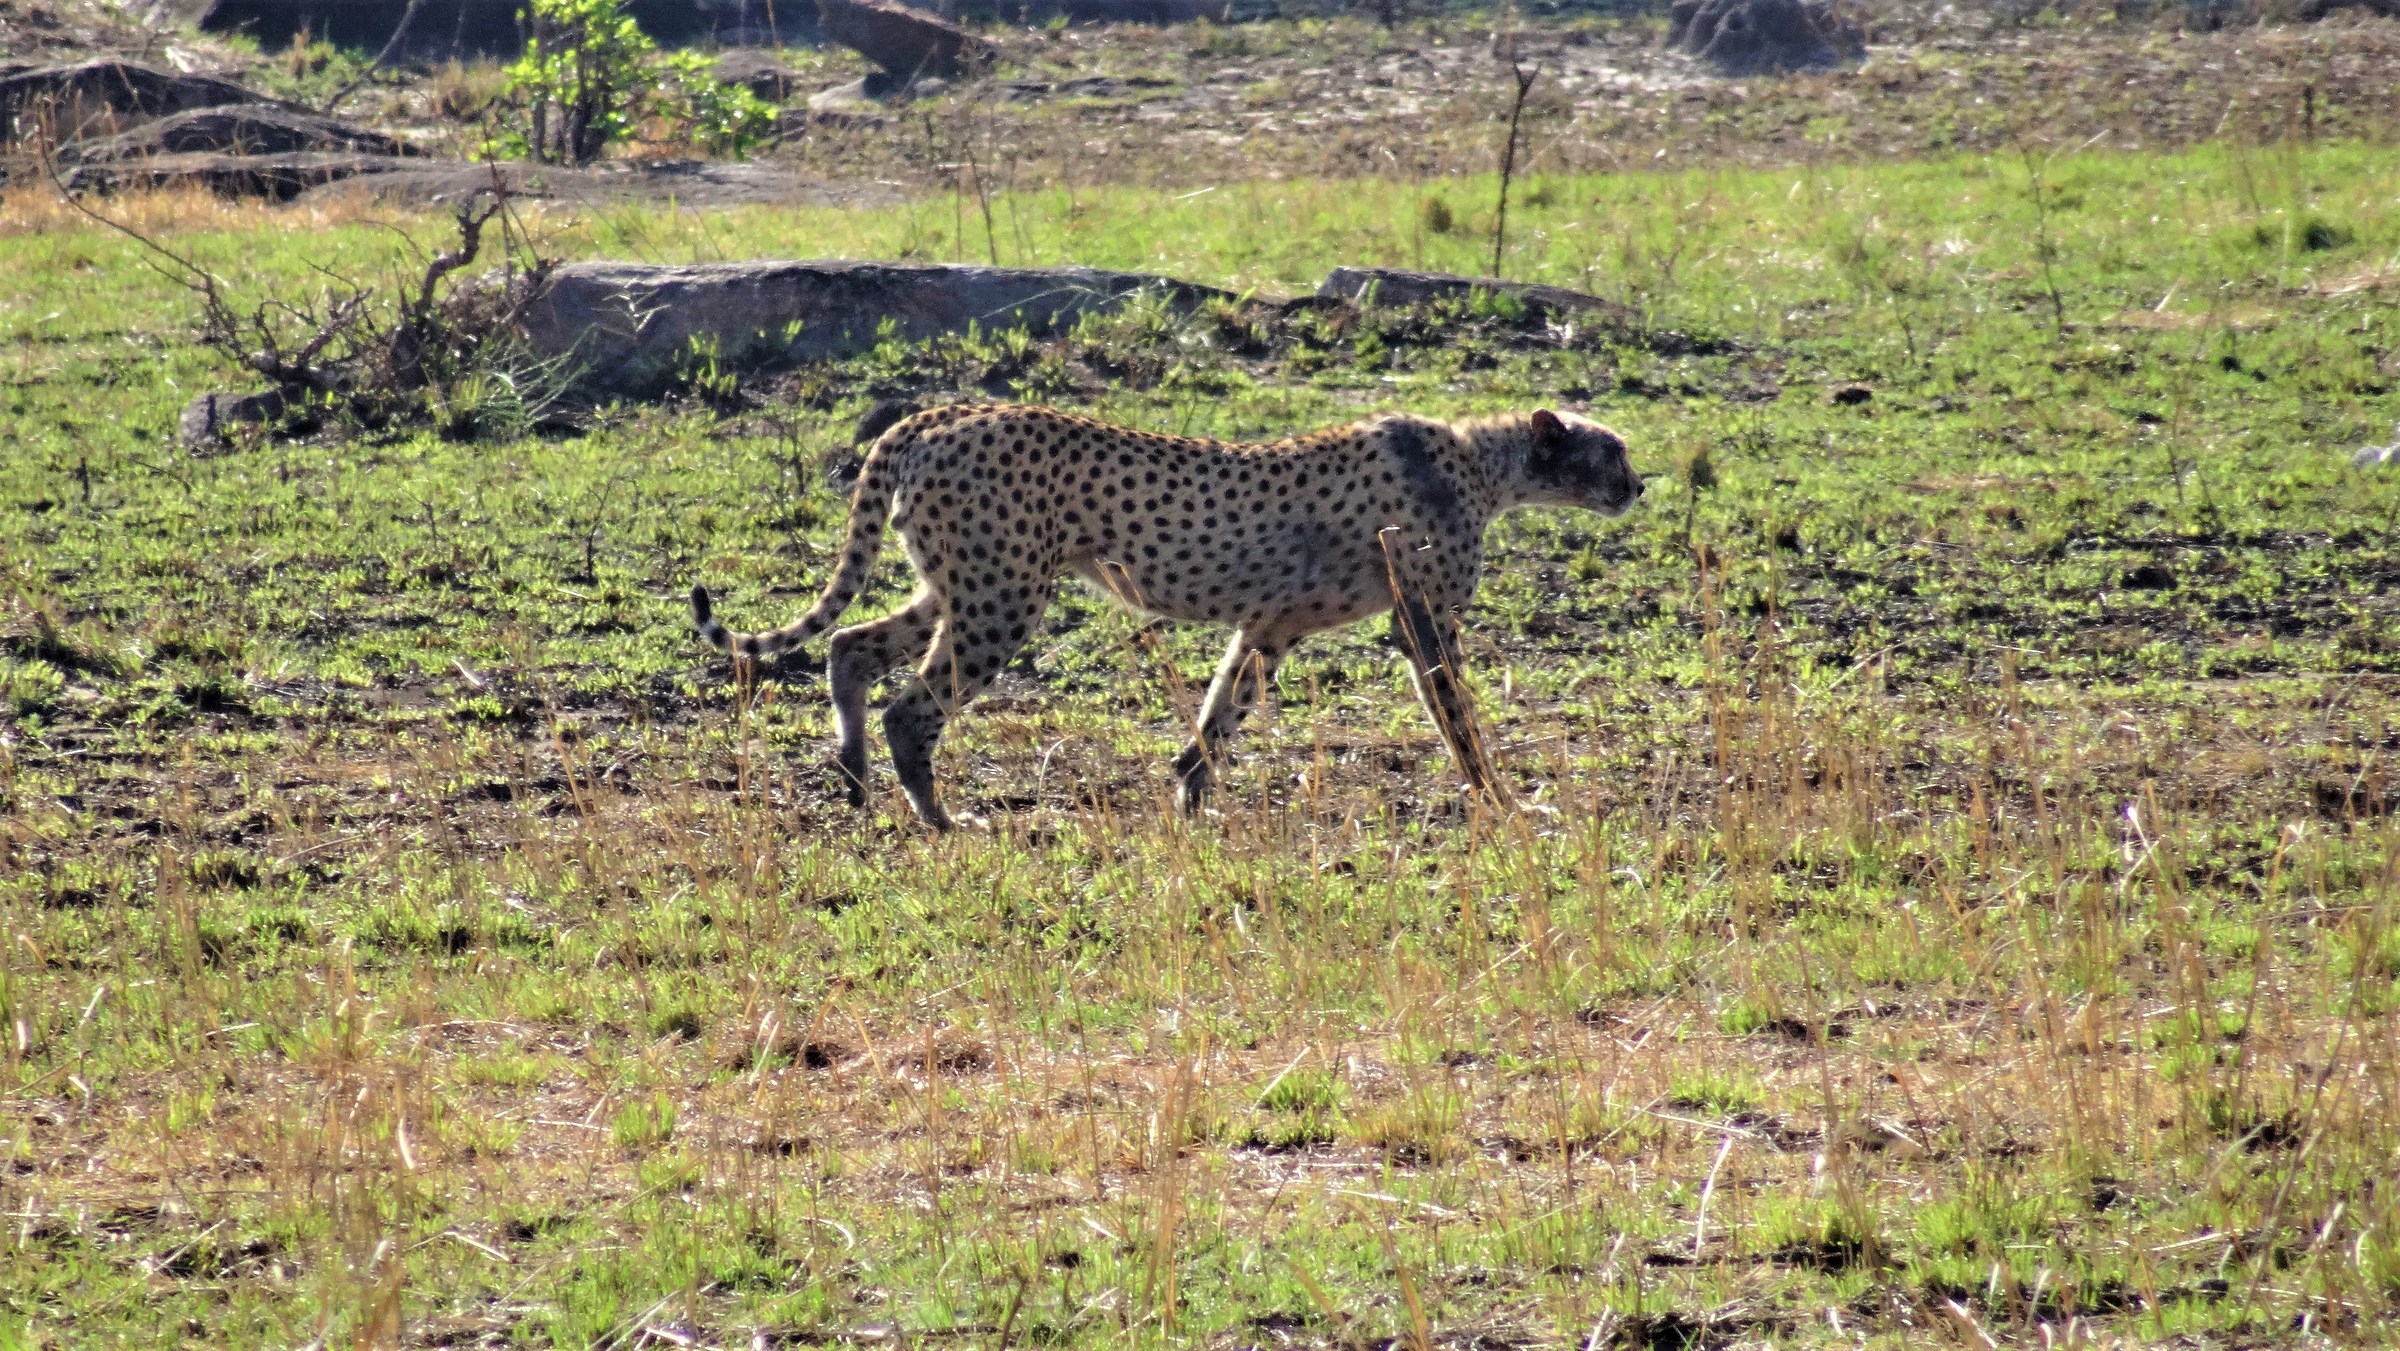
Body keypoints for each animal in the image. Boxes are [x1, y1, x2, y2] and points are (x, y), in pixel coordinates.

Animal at [692, 402, 1643, 830]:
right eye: (1615, 449)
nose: (1640, 484)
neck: (1487, 465)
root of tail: (942, 410)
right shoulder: (1424, 623)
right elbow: (1460, 720)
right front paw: (1501, 800)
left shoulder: (1271, 624)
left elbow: (1224, 708)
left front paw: (1189, 793)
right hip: (1003, 597)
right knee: (912, 706)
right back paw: (938, 816)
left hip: (959, 585)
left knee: (851, 647)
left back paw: (855, 776)